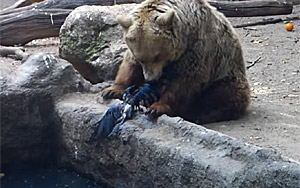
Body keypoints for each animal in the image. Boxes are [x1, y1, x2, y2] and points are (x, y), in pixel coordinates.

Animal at [102, 0, 250, 124]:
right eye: (141, 58)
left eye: (157, 56)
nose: (151, 79)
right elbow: (129, 67)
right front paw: (111, 90)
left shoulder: (196, 50)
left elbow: (184, 83)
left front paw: (157, 107)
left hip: (225, 73)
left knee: (222, 95)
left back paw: (199, 114)